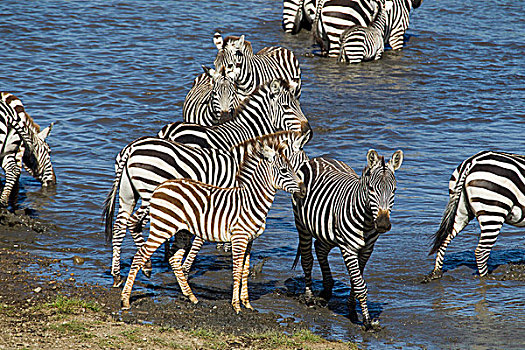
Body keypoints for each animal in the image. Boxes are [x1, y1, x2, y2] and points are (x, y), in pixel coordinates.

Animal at [120, 135, 304, 312]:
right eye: (284, 170)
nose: (303, 190)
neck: (251, 201)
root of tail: (161, 186)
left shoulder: (250, 240)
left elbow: (244, 271)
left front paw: (247, 304)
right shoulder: (239, 238)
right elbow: (237, 270)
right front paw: (236, 306)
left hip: (181, 231)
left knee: (173, 258)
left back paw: (191, 296)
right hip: (162, 227)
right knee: (140, 256)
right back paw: (125, 300)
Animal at [290, 149, 402, 330]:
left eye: (394, 190)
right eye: (371, 189)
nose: (383, 225)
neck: (367, 221)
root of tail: (319, 158)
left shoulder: (366, 250)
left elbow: (355, 281)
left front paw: (351, 308)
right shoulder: (348, 249)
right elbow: (359, 284)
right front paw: (367, 322)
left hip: (327, 230)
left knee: (320, 248)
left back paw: (327, 291)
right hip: (302, 224)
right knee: (307, 258)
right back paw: (309, 298)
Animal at [424, 150, 525, 282]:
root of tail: (472, 162)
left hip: (461, 210)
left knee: (444, 240)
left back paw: (436, 273)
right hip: (493, 211)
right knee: (481, 251)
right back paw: (487, 278)